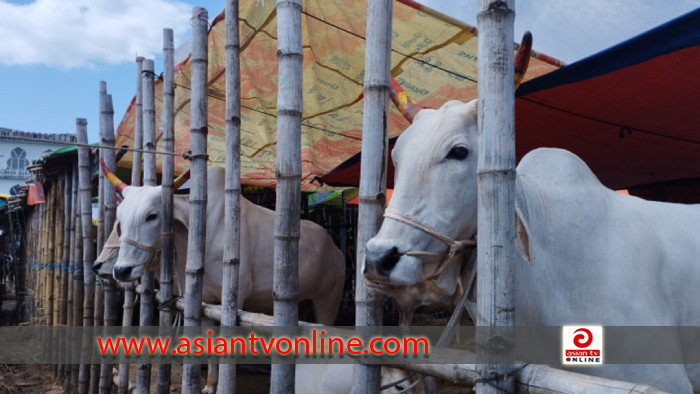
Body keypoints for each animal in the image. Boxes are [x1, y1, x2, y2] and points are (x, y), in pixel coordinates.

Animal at [106, 165, 344, 324]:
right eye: (120, 219)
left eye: (152, 215)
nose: (122, 270)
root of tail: (335, 248)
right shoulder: (203, 300)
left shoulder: (233, 299)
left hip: (328, 302)